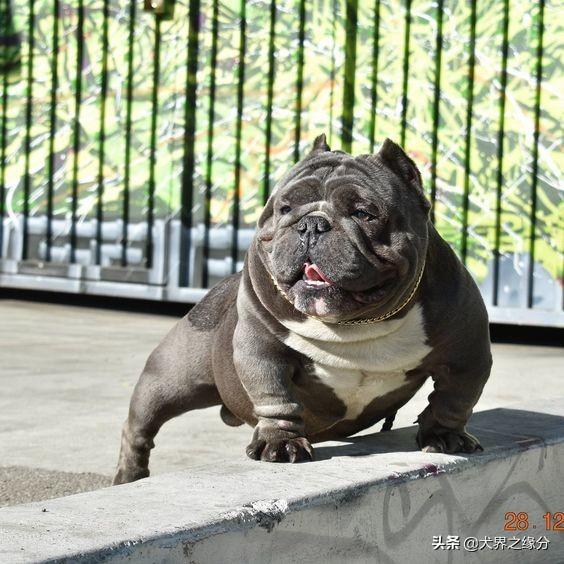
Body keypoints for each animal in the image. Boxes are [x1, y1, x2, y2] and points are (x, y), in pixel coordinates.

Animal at [115, 134, 494, 482]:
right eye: (284, 208)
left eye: (364, 213)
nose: (312, 223)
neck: (355, 325)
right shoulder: (261, 350)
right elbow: (275, 395)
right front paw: (280, 443)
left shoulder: (467, 353)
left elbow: (453, 398)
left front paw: (444, 436)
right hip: (170, 377)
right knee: (140, 426)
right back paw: (129, 475)